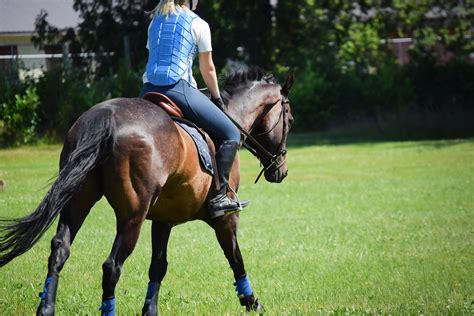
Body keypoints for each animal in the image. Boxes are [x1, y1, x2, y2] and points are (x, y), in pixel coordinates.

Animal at [0, 66, 292, 314]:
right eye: (289, 119)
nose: (282, 171)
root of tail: (105, 117)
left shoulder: (163, 219)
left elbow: (158, 267)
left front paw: (150, 309)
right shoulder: (225, 218)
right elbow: (235, 257)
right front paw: (251, 302)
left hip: (77, 201)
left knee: (60, 249)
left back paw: (46, 307)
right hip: (132, 216)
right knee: (111, 266)